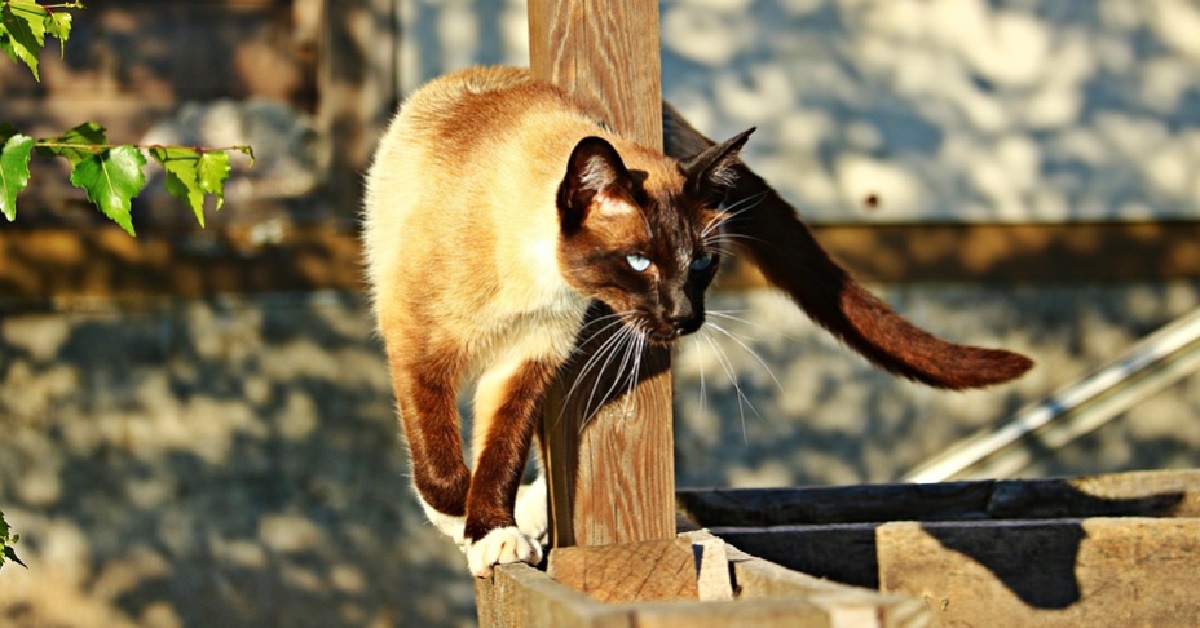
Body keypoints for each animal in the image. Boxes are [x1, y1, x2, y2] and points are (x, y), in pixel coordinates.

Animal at [362, 66, 1032, 578]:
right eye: (639, 261)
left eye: (704, 263)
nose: (685, 317)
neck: (537, 277)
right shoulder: (421, 351)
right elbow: (441, 465)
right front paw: (470, 529)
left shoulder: (526, 363)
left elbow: (498, 456)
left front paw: (495, 531)